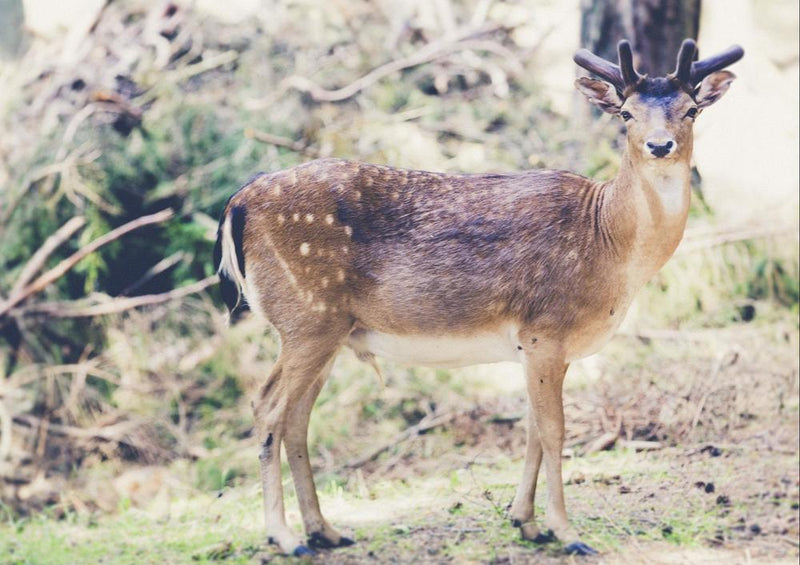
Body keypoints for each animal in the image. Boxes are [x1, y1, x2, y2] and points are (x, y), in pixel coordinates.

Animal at [212, 38, 744, 556]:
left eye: (691, 109)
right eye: (627, 114)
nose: (660, 145)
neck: (608, 243)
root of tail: (236, 204)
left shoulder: (539, 347)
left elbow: (532, 429)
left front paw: (526, 523)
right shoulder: (545, 330)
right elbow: (554, 430)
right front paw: (566, 532)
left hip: (328, 330)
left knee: (297, 417)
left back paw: (325, 531)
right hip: (307, 317)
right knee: (267, 408)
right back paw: (284, 537)